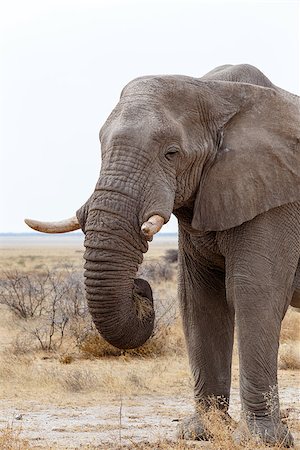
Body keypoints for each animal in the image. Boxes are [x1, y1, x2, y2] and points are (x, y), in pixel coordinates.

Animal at [25, 63, 300, 446]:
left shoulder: (276, 198)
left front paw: (262, 440)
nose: (140, 286)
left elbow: (254, 293)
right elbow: (199, 300)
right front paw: (201, 432)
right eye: (101, 146)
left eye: (171, 153)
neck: (216, 92)